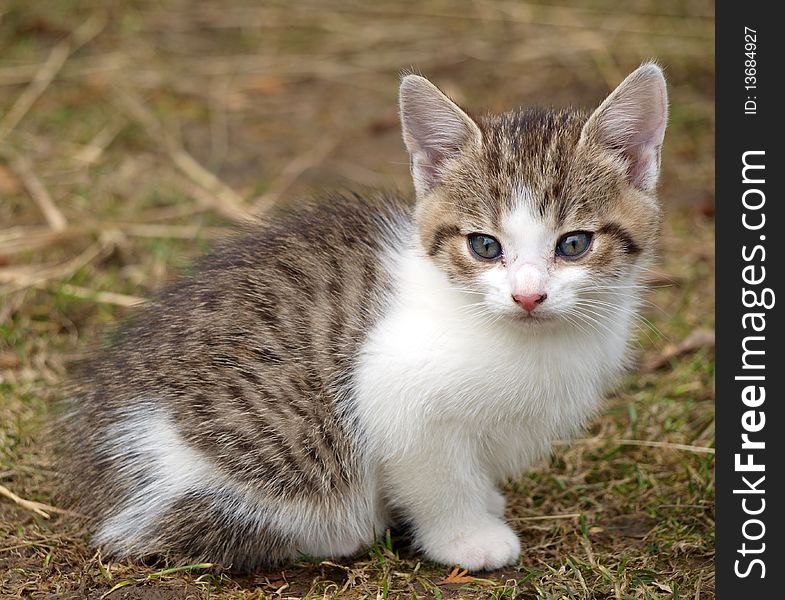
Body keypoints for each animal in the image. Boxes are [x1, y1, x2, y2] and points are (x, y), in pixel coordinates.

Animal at [62, 63, 668, 568]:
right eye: (484, 246)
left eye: (574, 244)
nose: (527, 296)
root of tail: (102, 485)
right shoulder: (396, 395)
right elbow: (438, 480)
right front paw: (468, 538)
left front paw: (486, 501)